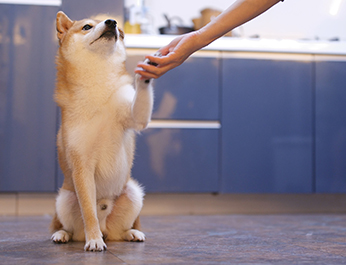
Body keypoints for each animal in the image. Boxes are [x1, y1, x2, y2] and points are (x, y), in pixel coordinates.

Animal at [49, 12, 153, 251]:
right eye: (87, 27)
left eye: (120, 32)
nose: (112, 22)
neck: (98, 84)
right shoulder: (82, 166)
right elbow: (89, 211)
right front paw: (94, 239)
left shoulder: (135, 116)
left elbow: (140, 105)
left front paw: (145, 73)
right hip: (65, 199)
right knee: (70, 227)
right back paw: (63, 234)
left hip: (133, 192)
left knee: (119, 232)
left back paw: (131, 233)